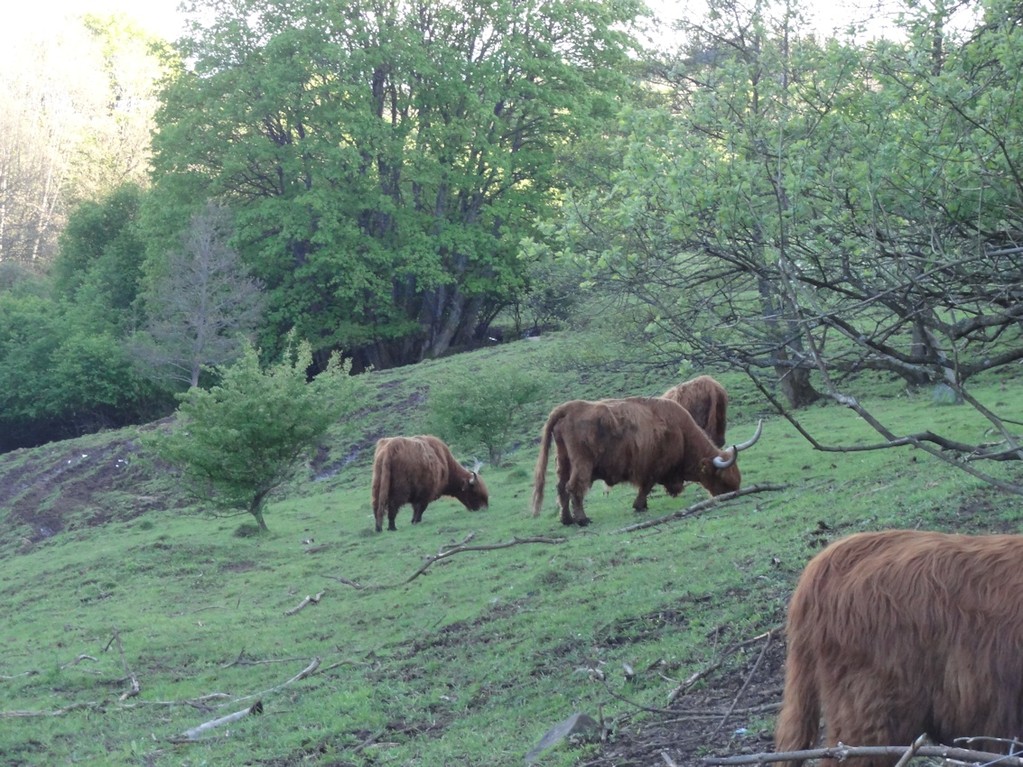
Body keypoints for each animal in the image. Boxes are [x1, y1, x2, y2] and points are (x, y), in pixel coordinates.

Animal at [536, 396, 761, 527]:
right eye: (723, 478)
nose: (734, 493)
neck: (682, 434)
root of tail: (569, 407)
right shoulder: (653, 467)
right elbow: (646, 486)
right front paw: (640, 506)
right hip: (582, 462)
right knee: (574, 487)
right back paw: (582, 519)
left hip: (564, 461)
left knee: (561, 487)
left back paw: (566, 520)